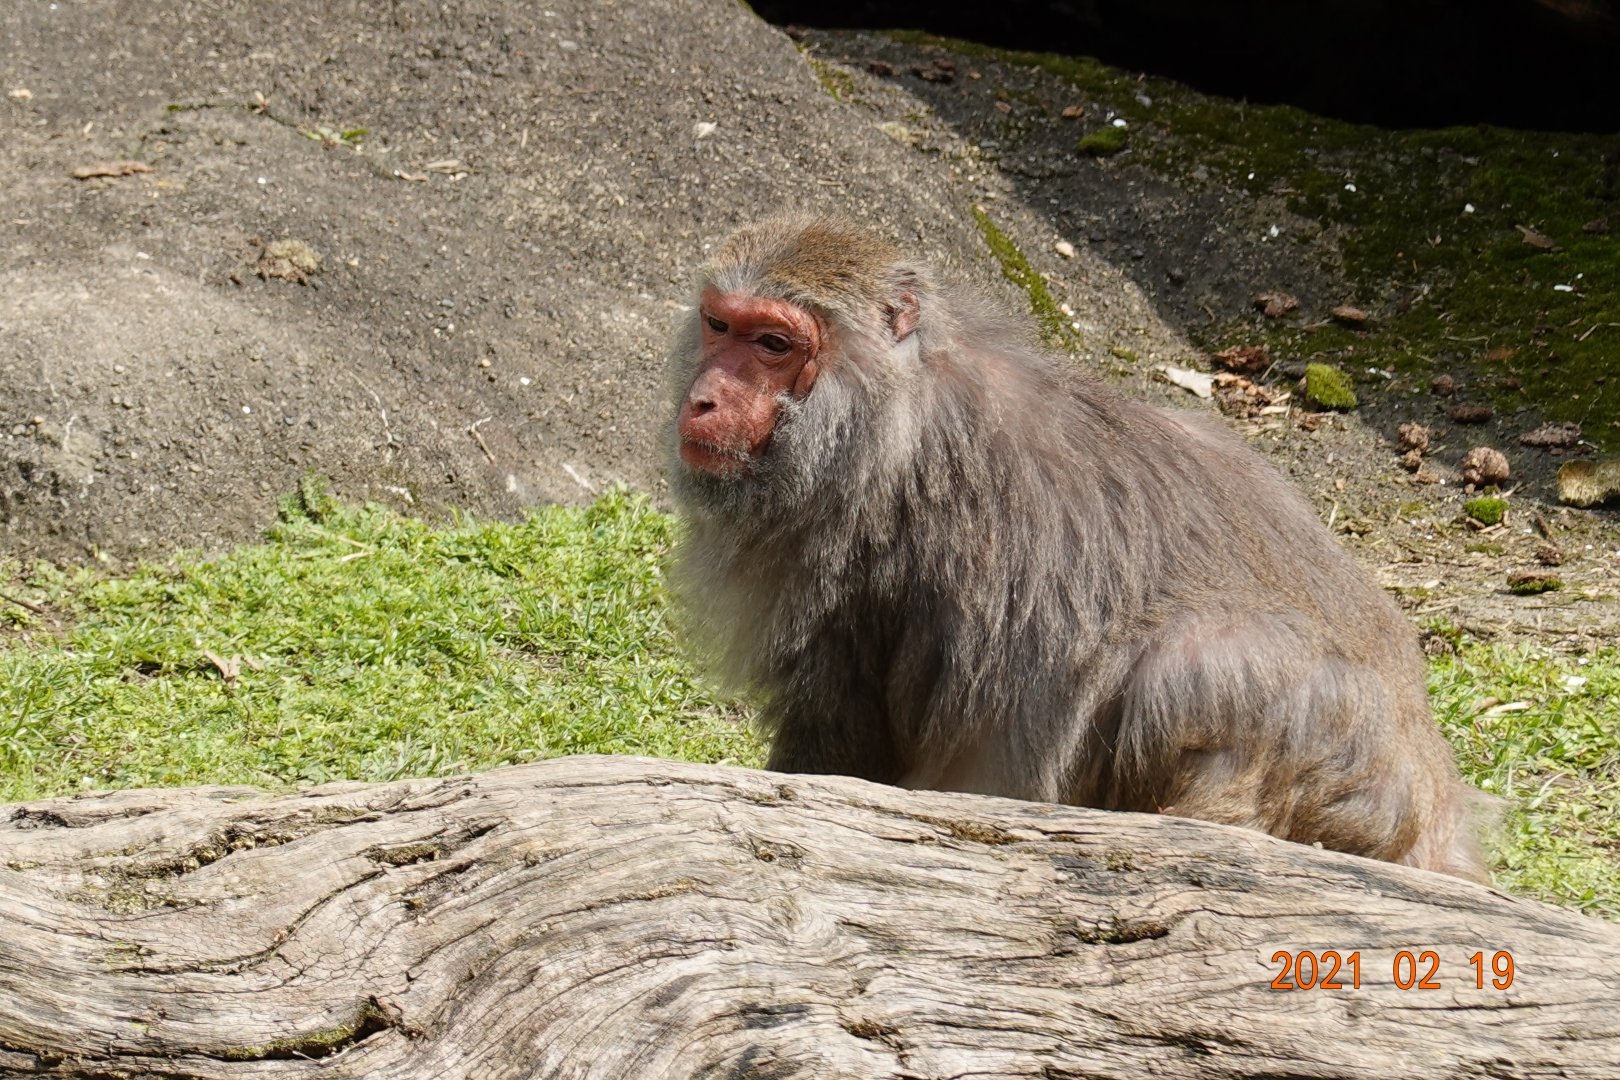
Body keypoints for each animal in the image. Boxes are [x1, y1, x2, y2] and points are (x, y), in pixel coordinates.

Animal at [666, 214, 1487, 882]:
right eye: (718, 325)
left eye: (774, 344)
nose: (702, 399)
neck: (883, 402)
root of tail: (1433, 811)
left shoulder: (842, 544)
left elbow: (841, 735)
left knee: (1190, 667)